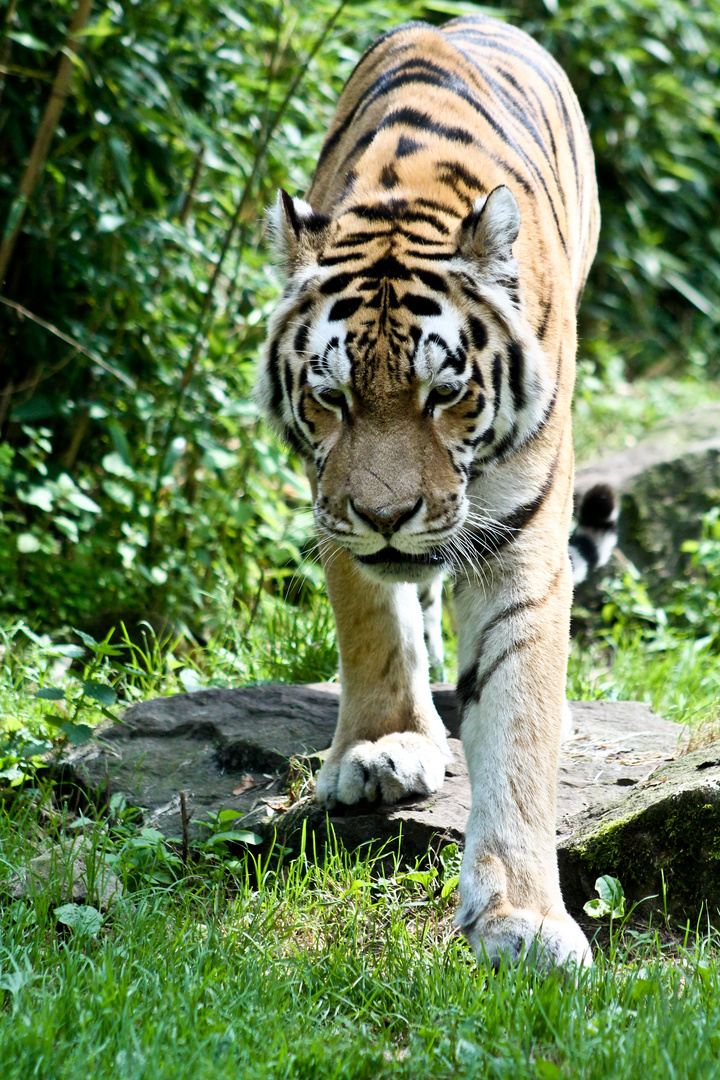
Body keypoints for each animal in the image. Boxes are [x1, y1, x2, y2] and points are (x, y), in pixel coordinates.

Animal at [259, 10, 613, 972]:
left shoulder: (520, 535)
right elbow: (373, 625)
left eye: (444, 394)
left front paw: (522, 918)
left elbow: (520, 715)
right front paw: (382, 747)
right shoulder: (332, 501)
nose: (387, 518)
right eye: (332, 397)